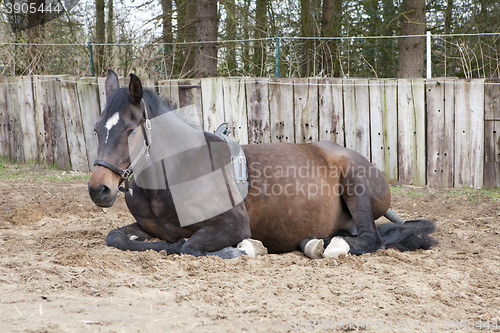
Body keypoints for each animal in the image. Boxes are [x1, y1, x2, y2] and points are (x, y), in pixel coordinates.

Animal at [88, 70, 436, 258]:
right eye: (96, 129)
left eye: (130, 131)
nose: (99, 189)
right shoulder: (148, 227)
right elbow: (117, 238)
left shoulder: (232, 225)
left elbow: (188, 246)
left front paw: (243, 248)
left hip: (355, 183)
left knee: (369, 239)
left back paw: (331, 245)